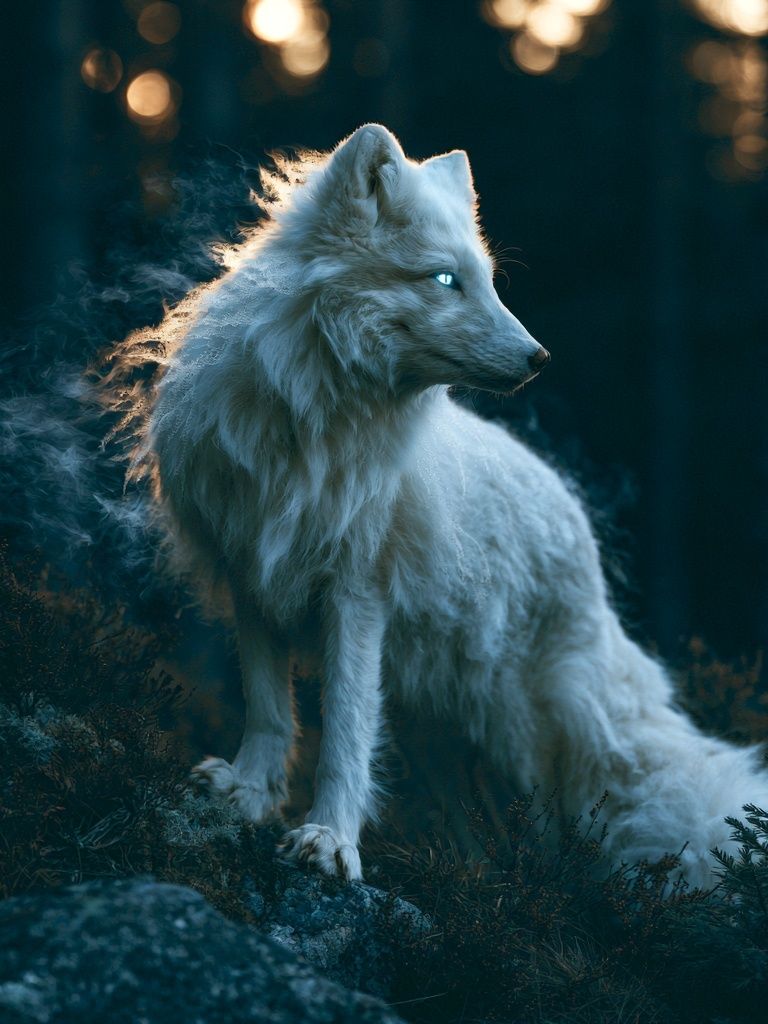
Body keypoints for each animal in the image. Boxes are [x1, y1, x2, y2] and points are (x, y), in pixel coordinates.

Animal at [145, 124, 768, 886]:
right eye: (446, 280)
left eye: (491, 280)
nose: (540, 357)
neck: (309, 421)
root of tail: (580, 529)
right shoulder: (254, 574)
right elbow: (269, 711)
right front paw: (250, 793)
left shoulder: (356, 593)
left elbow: (345, 730)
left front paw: (330, 840)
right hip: (439, 725)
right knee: (475, 817)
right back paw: (474, 872)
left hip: (518, 734)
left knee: (555, 828)